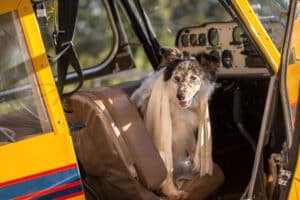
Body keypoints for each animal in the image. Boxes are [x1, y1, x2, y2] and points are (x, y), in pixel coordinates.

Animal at [131, 47, 218, 200]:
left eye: (193, 78)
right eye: (176, 78)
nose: (180, 96)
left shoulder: (186, 130)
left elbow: (193, 148)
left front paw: (199, 165)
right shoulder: (165, 141)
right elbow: (168, 169)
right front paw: (173, 193)